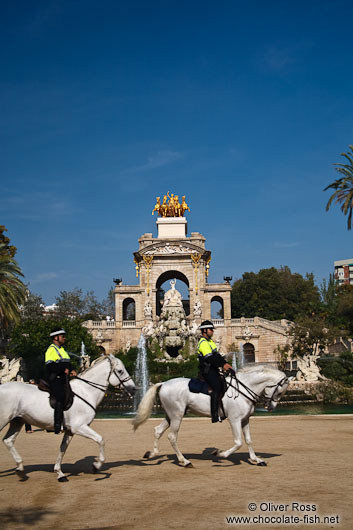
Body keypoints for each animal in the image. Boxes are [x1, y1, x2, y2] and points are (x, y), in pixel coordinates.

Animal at [0, 352, 135, 480]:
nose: (133, 389)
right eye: (120, 371)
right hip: (4, 420)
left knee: (8, 440)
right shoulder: (79, 427)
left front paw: (59, 473)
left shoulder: (70, 430)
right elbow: (100, 440)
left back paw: (20, 468)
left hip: (17, 421)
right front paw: (97, 465)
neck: (86, 392)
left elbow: (63, 449)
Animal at [132, 366, 288, 464]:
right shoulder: (234, 420)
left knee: (158, 431)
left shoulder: (245, 420)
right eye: (280, 392)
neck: (243, 389)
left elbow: (249, 440)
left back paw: (153, 453)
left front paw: (256, 459)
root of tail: (164, 383)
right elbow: (238, 442)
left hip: (170, 416)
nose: (271, 408)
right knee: (172, 436)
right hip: (177, 416)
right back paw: (184, 461)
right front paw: (219, 453)